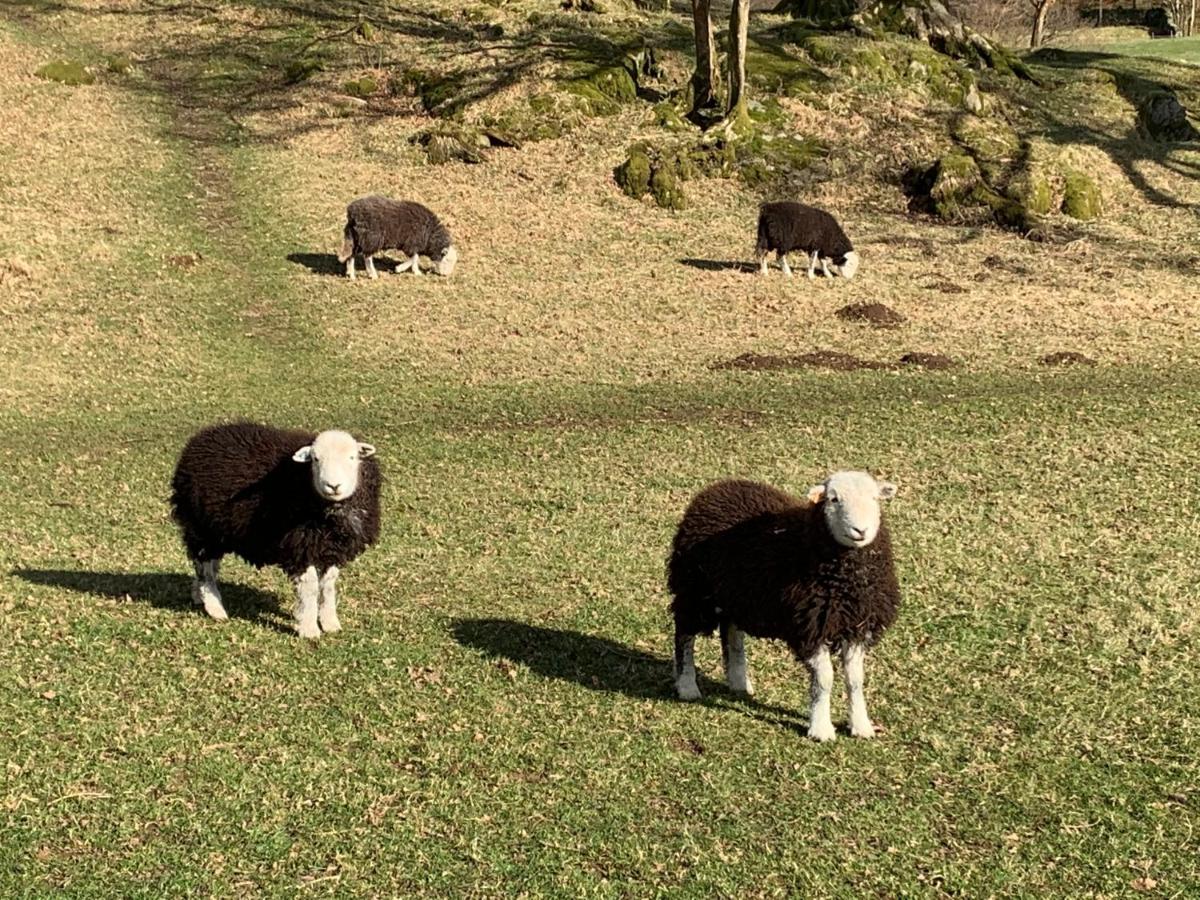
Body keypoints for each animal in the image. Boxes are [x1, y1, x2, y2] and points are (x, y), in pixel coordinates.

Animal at [169, 424, 381, 643]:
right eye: (315, 459)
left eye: (352, 457)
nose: (333, 486)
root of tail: (201, 437)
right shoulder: (299, 545)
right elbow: (310, 587)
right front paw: (308, 628)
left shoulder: (332, 548)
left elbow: (328, 585)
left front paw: (330, 623)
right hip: (200, 526)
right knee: (205, 567)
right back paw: (214, 607)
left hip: (216, 531)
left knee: (205, 565)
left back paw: (198, 595)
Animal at [667, 468, 902, 744]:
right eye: (833, 499)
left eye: (875, 498)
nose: (860, 530)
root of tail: (718, 487)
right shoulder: (809, 626)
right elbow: (825, 679)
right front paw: (821, 729)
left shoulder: (857, 625)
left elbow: (855, 680)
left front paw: (861, 725)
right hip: (695, 589)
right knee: (684, 633)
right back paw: (687, 685)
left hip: (736, 595)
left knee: (732, 633)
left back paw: (739, 682)